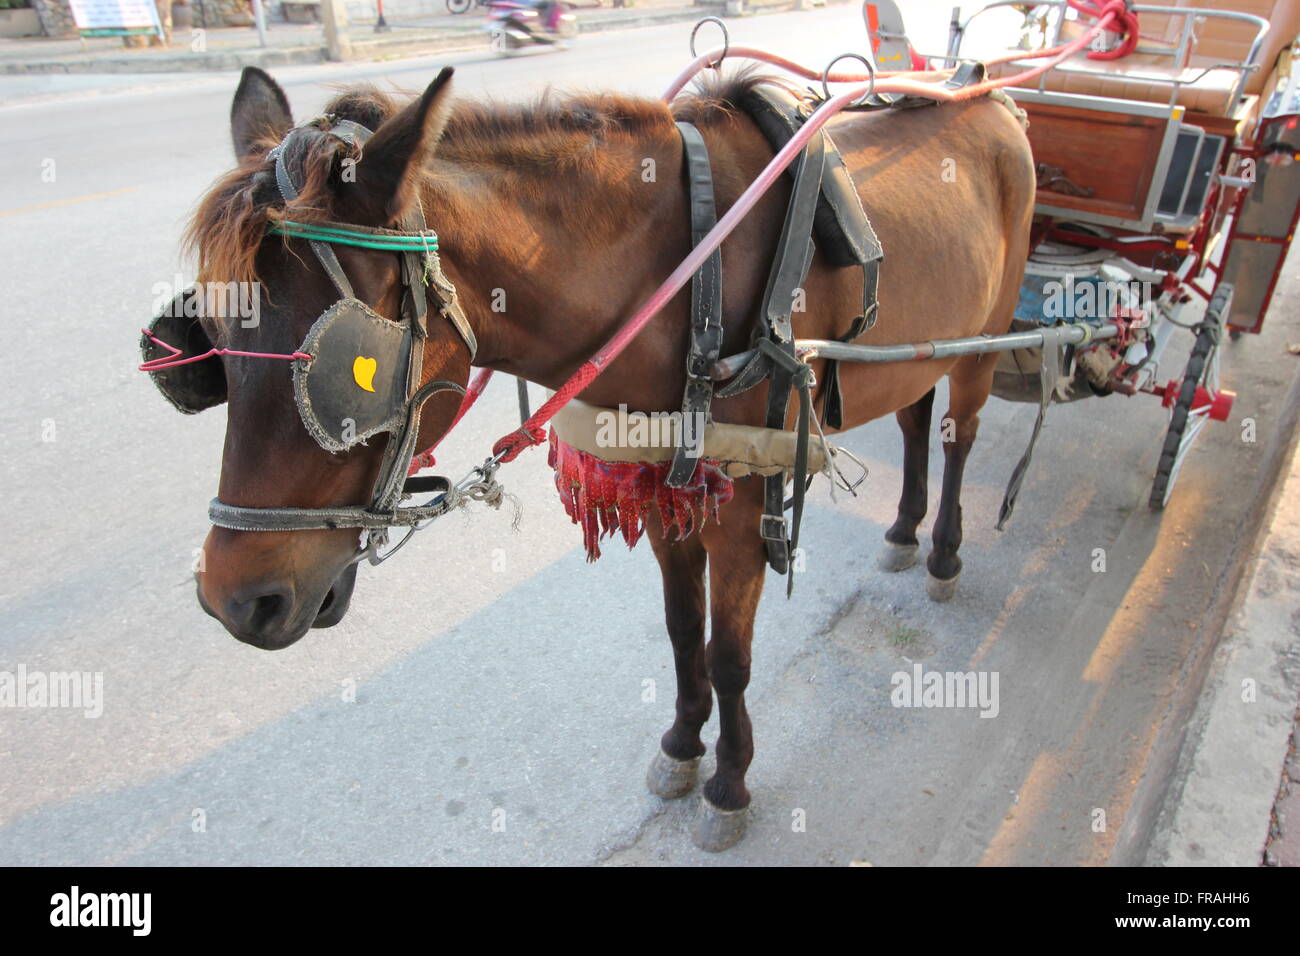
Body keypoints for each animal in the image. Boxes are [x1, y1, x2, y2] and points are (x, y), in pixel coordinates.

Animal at [178, 61, 1029, 853]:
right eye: (204, 339)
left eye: (348, 368)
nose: (233, 600)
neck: (689, 267)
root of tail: (991, 95)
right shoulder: (660, 484)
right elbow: (683, 631)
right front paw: (683, 744)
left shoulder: (746, 503)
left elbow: (729, 654)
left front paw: (728, 783)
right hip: (922, 349)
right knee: (916, 421)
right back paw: (904, 528)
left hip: (985, 341)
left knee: (959, 435)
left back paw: (944, 552)